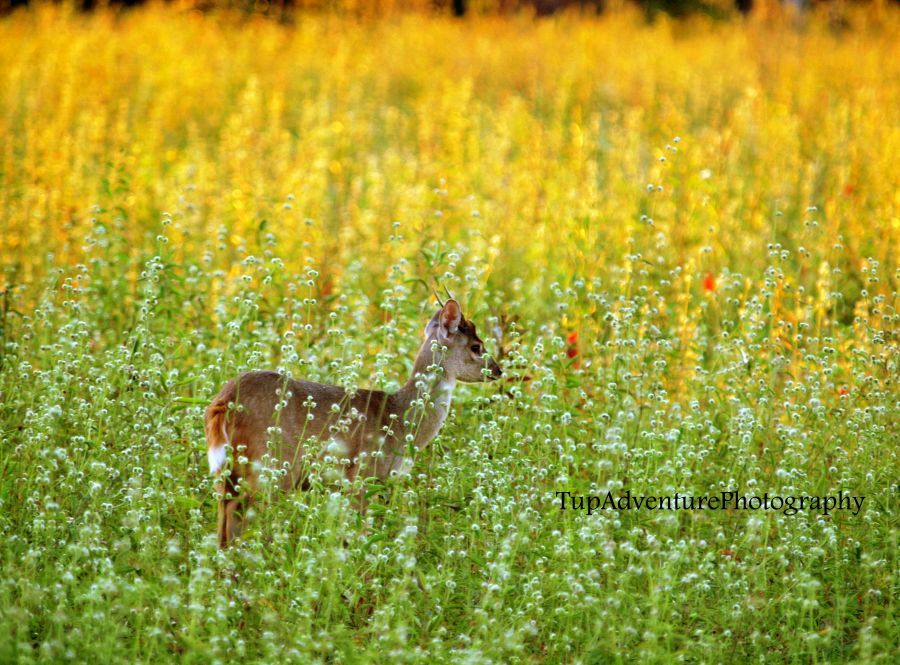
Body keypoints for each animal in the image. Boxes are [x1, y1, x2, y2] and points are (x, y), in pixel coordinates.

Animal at [204, 298, 502, 548]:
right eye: (476, 346)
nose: (498, 370)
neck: (401, 420)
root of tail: (224, 401)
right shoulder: (363, 475)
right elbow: (361, 532)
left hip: (229, 470)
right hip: (268, 464)